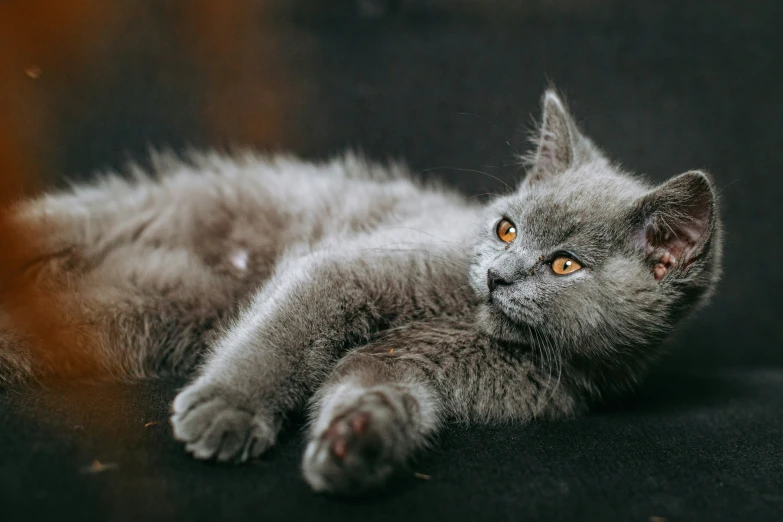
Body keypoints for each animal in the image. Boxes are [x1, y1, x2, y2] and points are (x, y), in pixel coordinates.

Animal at [0, 89, 724, 492]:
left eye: (564, 266)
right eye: (506, 228)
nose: (496, 274)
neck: (477, 330)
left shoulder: (413, 364)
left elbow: (373, 385)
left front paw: (358, 442)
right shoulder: (348, 268)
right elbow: (285, 334)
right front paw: (231, 409)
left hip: (123, 313)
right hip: (101, 227)